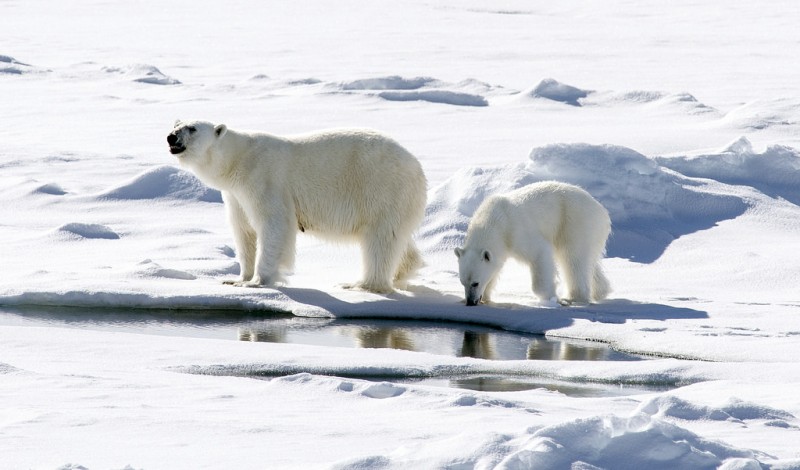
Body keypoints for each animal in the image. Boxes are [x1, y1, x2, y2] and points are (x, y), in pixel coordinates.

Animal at [166, 119, 428, 292]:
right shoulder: (235, 195)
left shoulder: (263, 179)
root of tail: (417, 167)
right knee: (397, 239)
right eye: (177, 122)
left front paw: (258, 281)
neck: (237, 160)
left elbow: (274, 224)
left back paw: (360, 284)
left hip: (382, 188)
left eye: (192, 128)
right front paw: (237, 279)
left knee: (380, 239)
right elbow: (243, 232)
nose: (171, 137)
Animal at [456, 182, 612, 306]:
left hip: (574, 222)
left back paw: (574, 298)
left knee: (573, 258)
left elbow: (540, 252)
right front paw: (486, 296)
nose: (470, 302)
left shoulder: (517, 232)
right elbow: (495, 267)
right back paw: (600, 291)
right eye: (462, 282)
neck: (495, 221)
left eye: (475, 283)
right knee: (588, 261)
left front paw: (551, 297)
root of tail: (602, 212)